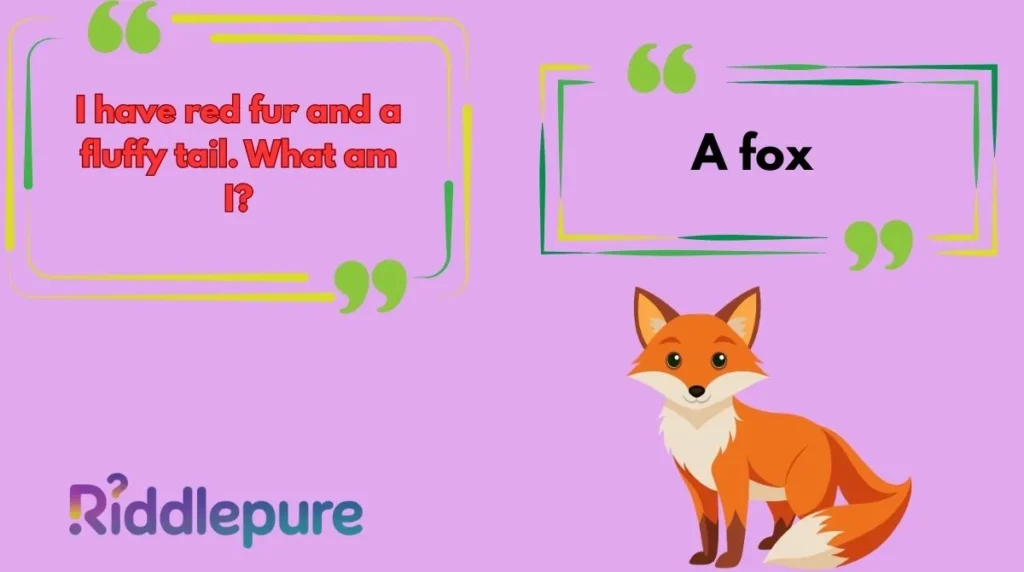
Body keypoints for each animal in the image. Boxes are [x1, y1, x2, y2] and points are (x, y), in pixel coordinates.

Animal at [629, 287, 911, 569]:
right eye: (673, 359)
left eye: (719, 360)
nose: (696, 390)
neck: (699, 434)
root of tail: (824, 430)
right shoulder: (699, 489)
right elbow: (708, 527)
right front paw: (707, 558)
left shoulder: (733, 483)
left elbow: (734, 527)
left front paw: (730, 561)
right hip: (777, 496)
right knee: (784, 518)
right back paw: (773, 543)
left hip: (804, 496)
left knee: (807, 519)